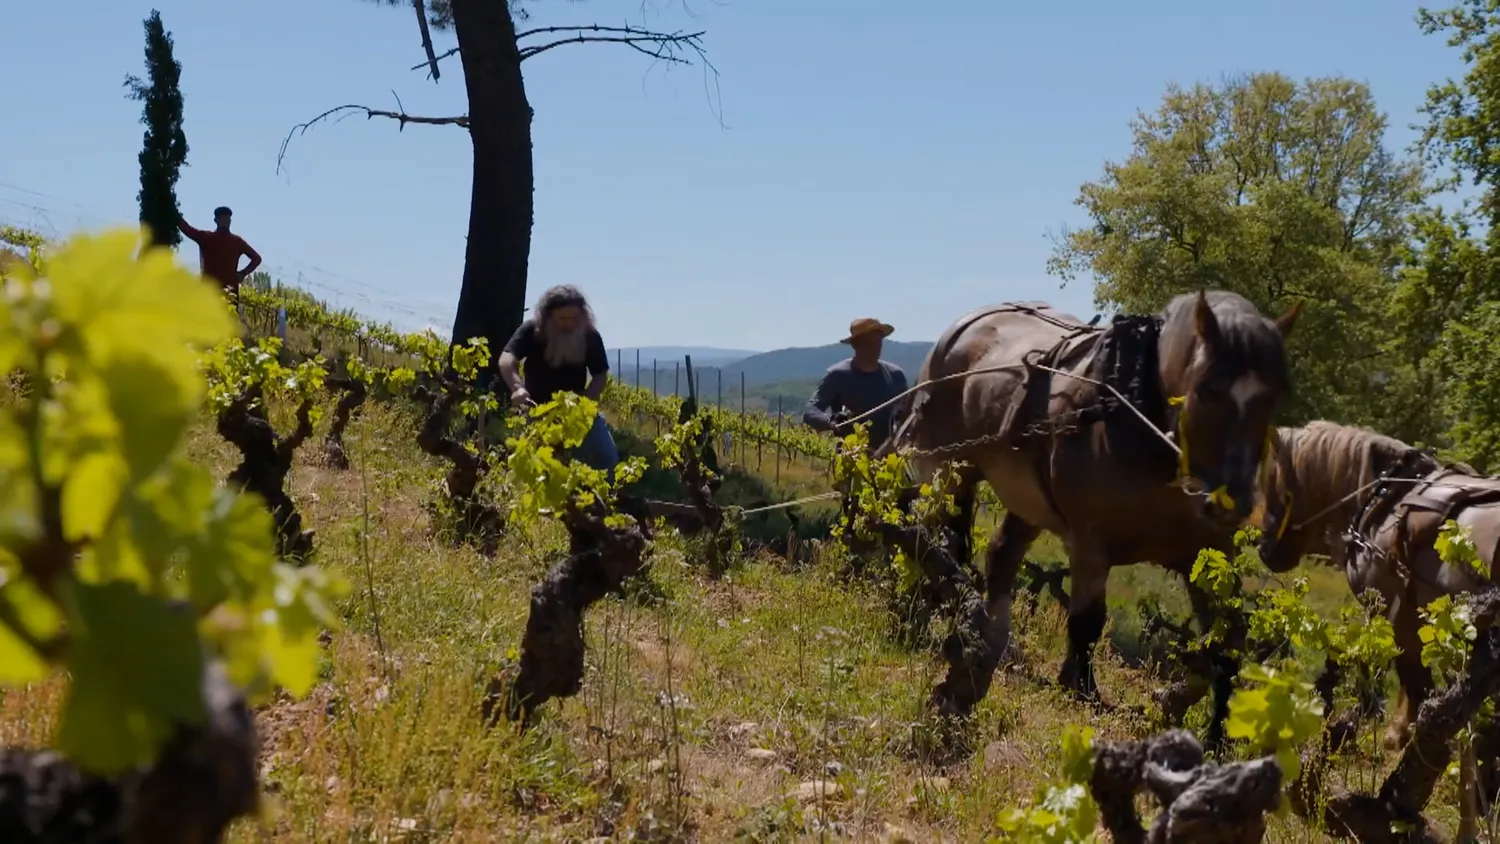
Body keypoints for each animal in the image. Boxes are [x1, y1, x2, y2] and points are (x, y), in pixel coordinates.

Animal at [888, 290, 1302, 707]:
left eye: (1277, 395)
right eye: (1206, 388)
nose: (1232, 504)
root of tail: (962, 328)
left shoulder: (1207, 553)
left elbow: (1224, 641)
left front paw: (1186, 704)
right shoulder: (1090, 542)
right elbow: (1088, 620)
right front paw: (1082, 686)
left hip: (1026, 499)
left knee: (1001, 555)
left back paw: (995, 639)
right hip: (947, 471)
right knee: (935, 545)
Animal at [1260, 422, 1500, 752]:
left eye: (1274, 484)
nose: (1264, 550)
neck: (1383, 499)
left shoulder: (1394, 614)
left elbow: (1409, 680)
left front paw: (1400, 735)